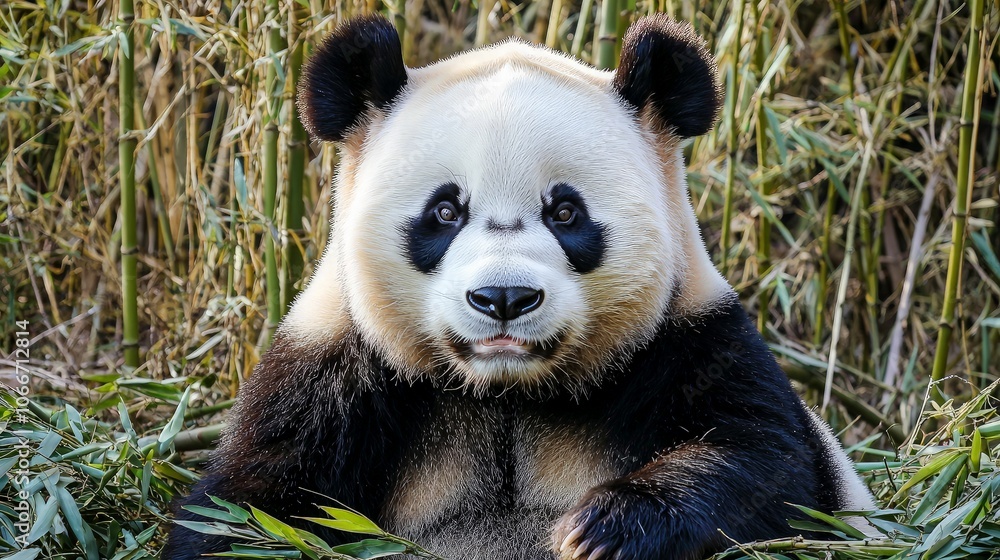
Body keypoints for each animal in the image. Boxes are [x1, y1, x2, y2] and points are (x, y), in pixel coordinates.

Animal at [164, 13, 876, 560]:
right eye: (445, 211)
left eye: (565, 212)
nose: (503, 300)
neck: (507, 391)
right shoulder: (336, 369)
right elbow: (250, 508)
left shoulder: (687, 339)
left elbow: (768, 469)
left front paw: (603, 529)